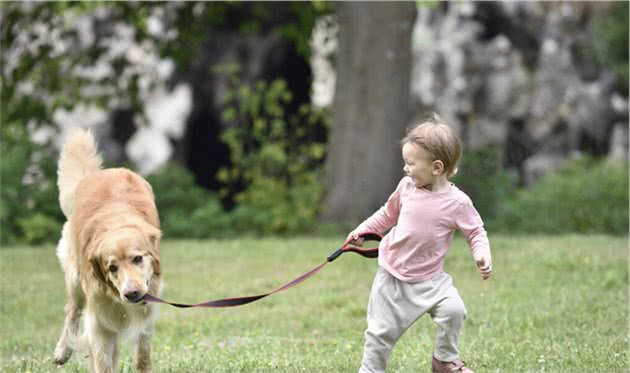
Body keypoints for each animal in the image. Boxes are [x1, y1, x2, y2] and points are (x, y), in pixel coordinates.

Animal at [54, 129, 162, 372]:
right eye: (112, 268)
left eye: (138, 259)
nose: (131, 293)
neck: (116, 223)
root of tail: (102, 172)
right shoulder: (99, 320)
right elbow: (102, 360)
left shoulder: (146, 308)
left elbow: (143, 354)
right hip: (75, 279)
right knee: (72, 311)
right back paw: (62, 350)